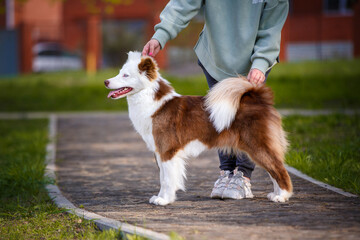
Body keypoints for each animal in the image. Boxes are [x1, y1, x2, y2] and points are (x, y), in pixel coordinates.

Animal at [105, 51, 292, 205]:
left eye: (125, 75)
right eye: (120, 72)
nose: (106, 82)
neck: (152, 101)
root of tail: (259, 99)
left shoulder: (167, 150)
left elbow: (167, 179)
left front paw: (164, 200)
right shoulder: (160, 152)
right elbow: (163, 177)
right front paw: (163, 197)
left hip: (257, 146)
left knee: (279, 169)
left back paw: (282, 196)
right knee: (274, 171)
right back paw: (276, 194)